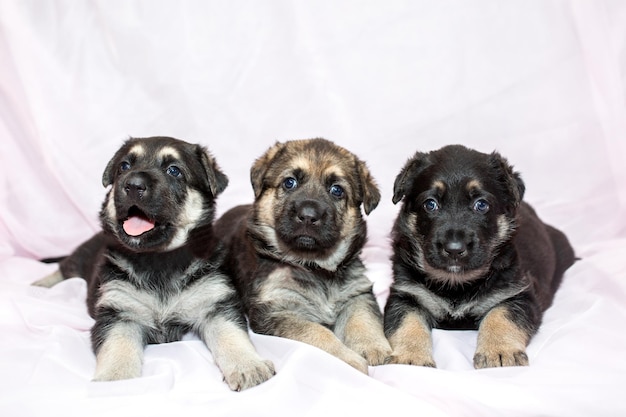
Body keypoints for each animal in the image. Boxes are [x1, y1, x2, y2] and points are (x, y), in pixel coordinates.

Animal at [33, 136, 272, 390]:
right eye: (124, 167)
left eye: (174, 170)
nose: (133, 185)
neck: (158, 258)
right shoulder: (118, 313)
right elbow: (117, 347)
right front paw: (116, 380)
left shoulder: (216, 305)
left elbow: (232, 335)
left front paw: (249, 366)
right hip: (80, 257)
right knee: (62, 268)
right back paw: (41, 284)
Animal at [214, 138, 390, 372]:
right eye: (290, 183)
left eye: (337, 190)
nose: (308, 216)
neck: (314, 266)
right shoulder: (278, 310)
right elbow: (318, 333)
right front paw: (349, 360)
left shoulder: (356, 292)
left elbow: (363, 319)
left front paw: (373, 346)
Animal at [386, 144, 576, 368]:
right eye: (430, 204)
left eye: (481, 205)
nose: (454, 249)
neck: (457, 284)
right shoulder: (405, 294)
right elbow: (407, 323)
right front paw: (411, 358)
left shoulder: (518, 295)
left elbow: (500, 315)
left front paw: (500, 351)